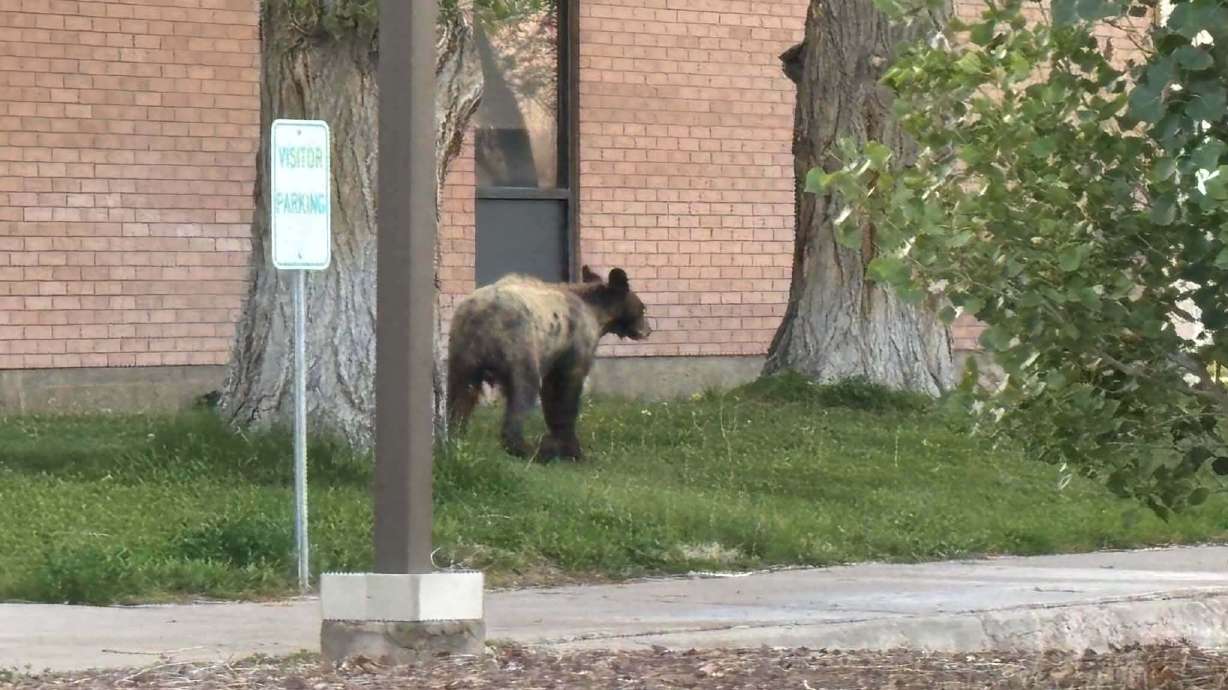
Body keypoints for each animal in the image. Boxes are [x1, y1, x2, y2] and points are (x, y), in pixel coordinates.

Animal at [446, 265, 652, 460]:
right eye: (643, 308)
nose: (648, 330)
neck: (597, 314)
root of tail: (479, 316)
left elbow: (551, 393)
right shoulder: (574, 343)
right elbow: (565, 392)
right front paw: (571, 449)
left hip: (463, 353)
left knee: (460, 395)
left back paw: (456, 436)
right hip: (520, 345)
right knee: (522, 391)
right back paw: (526, 448)